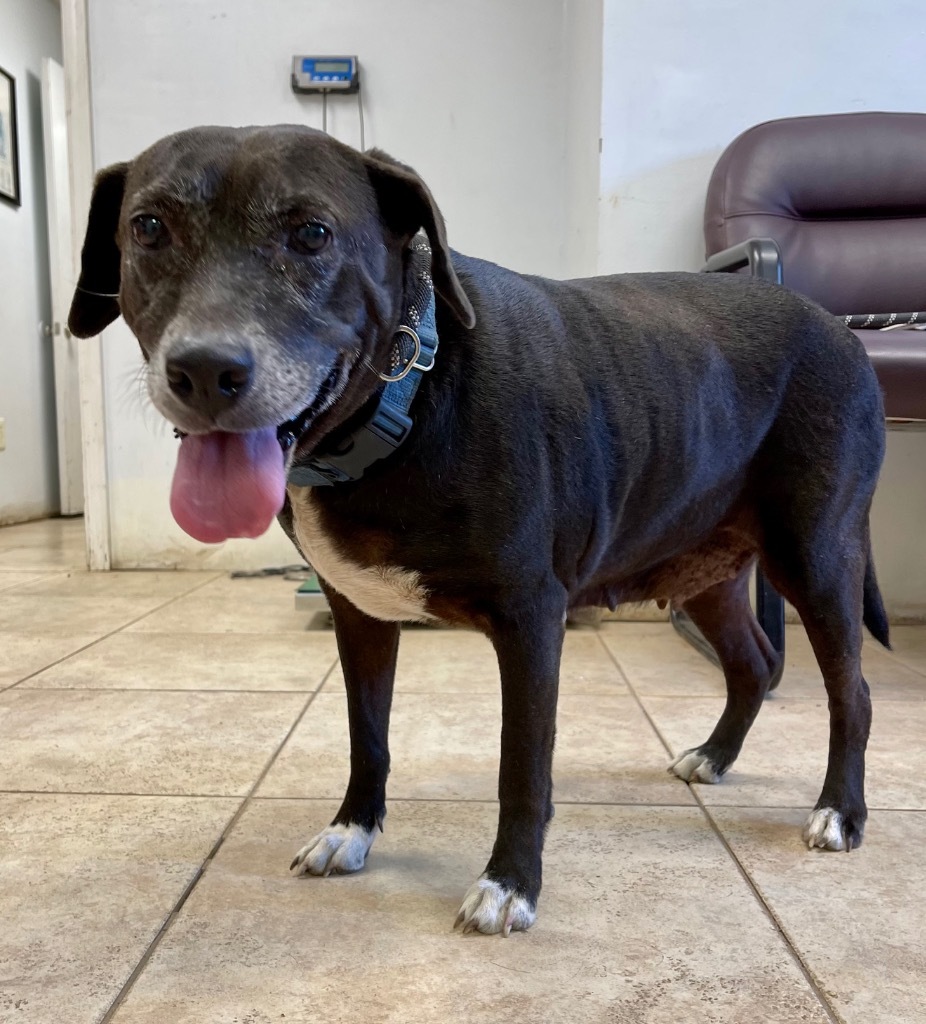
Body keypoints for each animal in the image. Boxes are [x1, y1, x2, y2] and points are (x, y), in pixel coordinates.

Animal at [67, 125, 889, 937]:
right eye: (148, 228)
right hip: (702, 567)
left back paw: (840, 813)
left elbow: (521, 764)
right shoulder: (358, 615)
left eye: (311, 233)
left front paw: (511, 884)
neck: (409, 392)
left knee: (851, 692)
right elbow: (367, 734)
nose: (205, 370)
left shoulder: (531, 619)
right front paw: (351, 830)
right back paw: (715, 757)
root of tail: (839, 327)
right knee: (752, 663)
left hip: (816, 557)